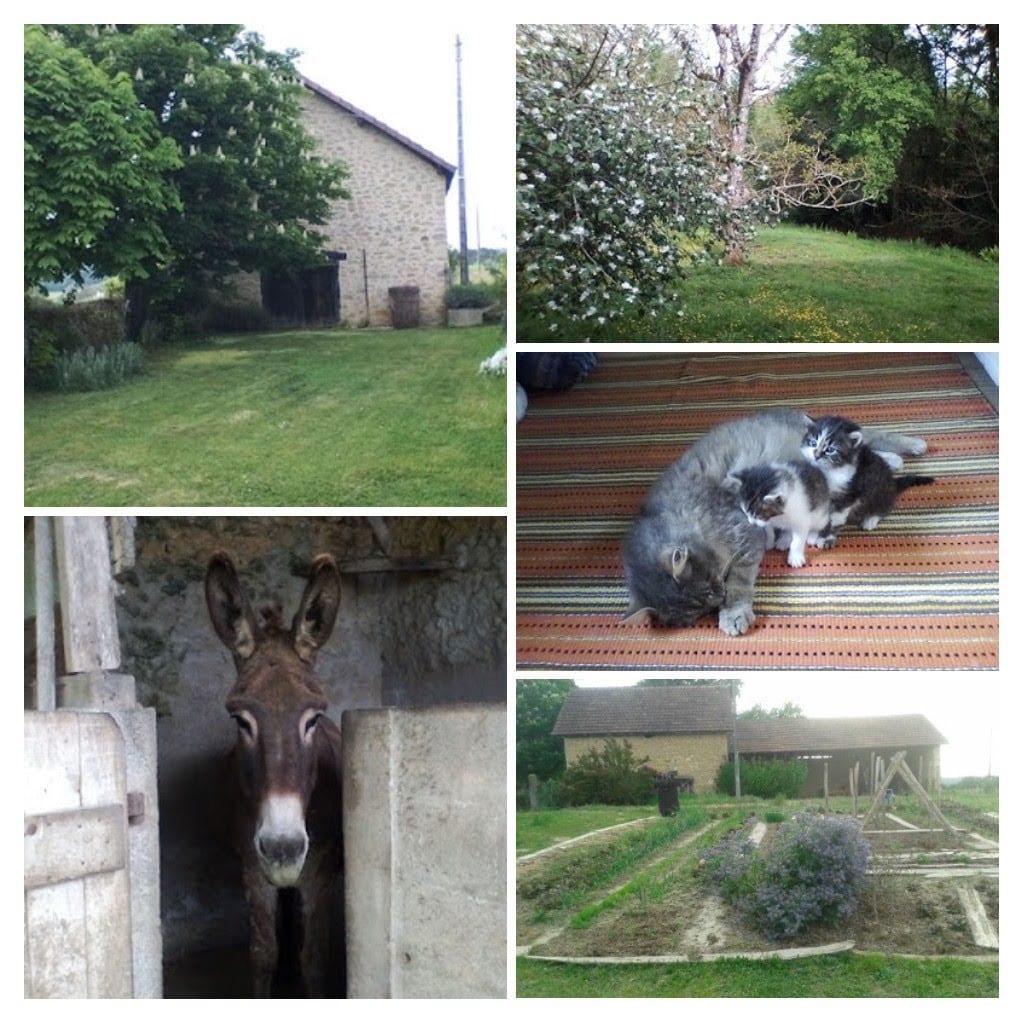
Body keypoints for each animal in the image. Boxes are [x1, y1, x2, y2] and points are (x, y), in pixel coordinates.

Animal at [798, 413, 937, 532]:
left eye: (830, 450)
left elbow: (840, 511)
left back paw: (870, 520)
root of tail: (893, 484)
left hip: (880, 494)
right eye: (813, 443)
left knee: (884, 508)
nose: (816, 455)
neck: (829, 471)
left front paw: (833, 524)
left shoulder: (852, 489)